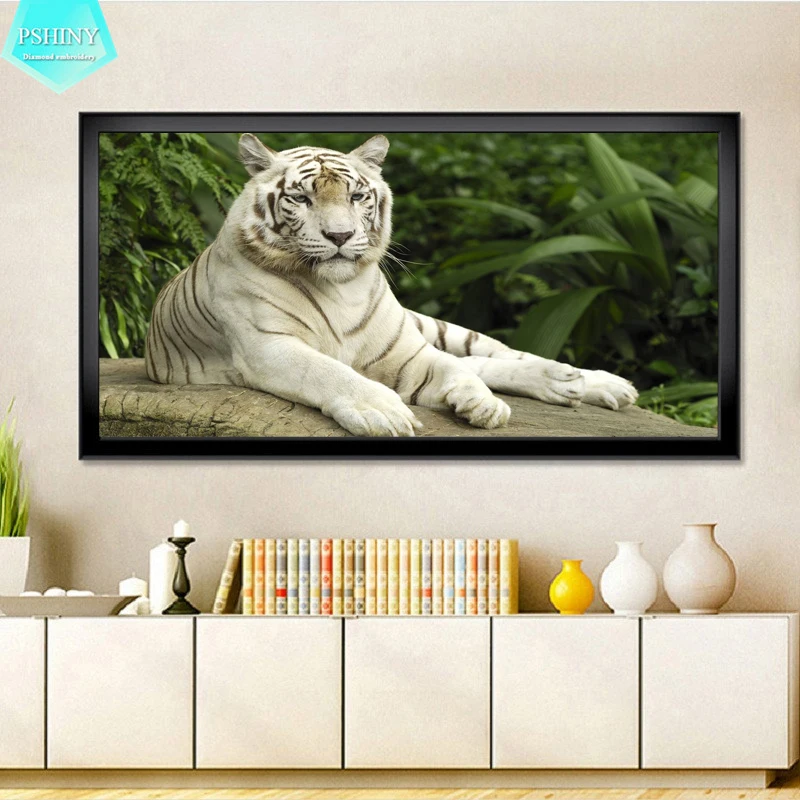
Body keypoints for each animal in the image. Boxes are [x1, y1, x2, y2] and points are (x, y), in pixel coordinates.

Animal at [144, 133, 637, 437]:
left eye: (357, 196)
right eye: (301, 198)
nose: (340, 236)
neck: (340, 289)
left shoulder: (407, 353)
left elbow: (455, 369)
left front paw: (482, 405)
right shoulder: (268, 347)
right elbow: (328, 371)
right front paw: (383, 411)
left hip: (432, 327)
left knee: (491, 355)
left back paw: (585, 381)